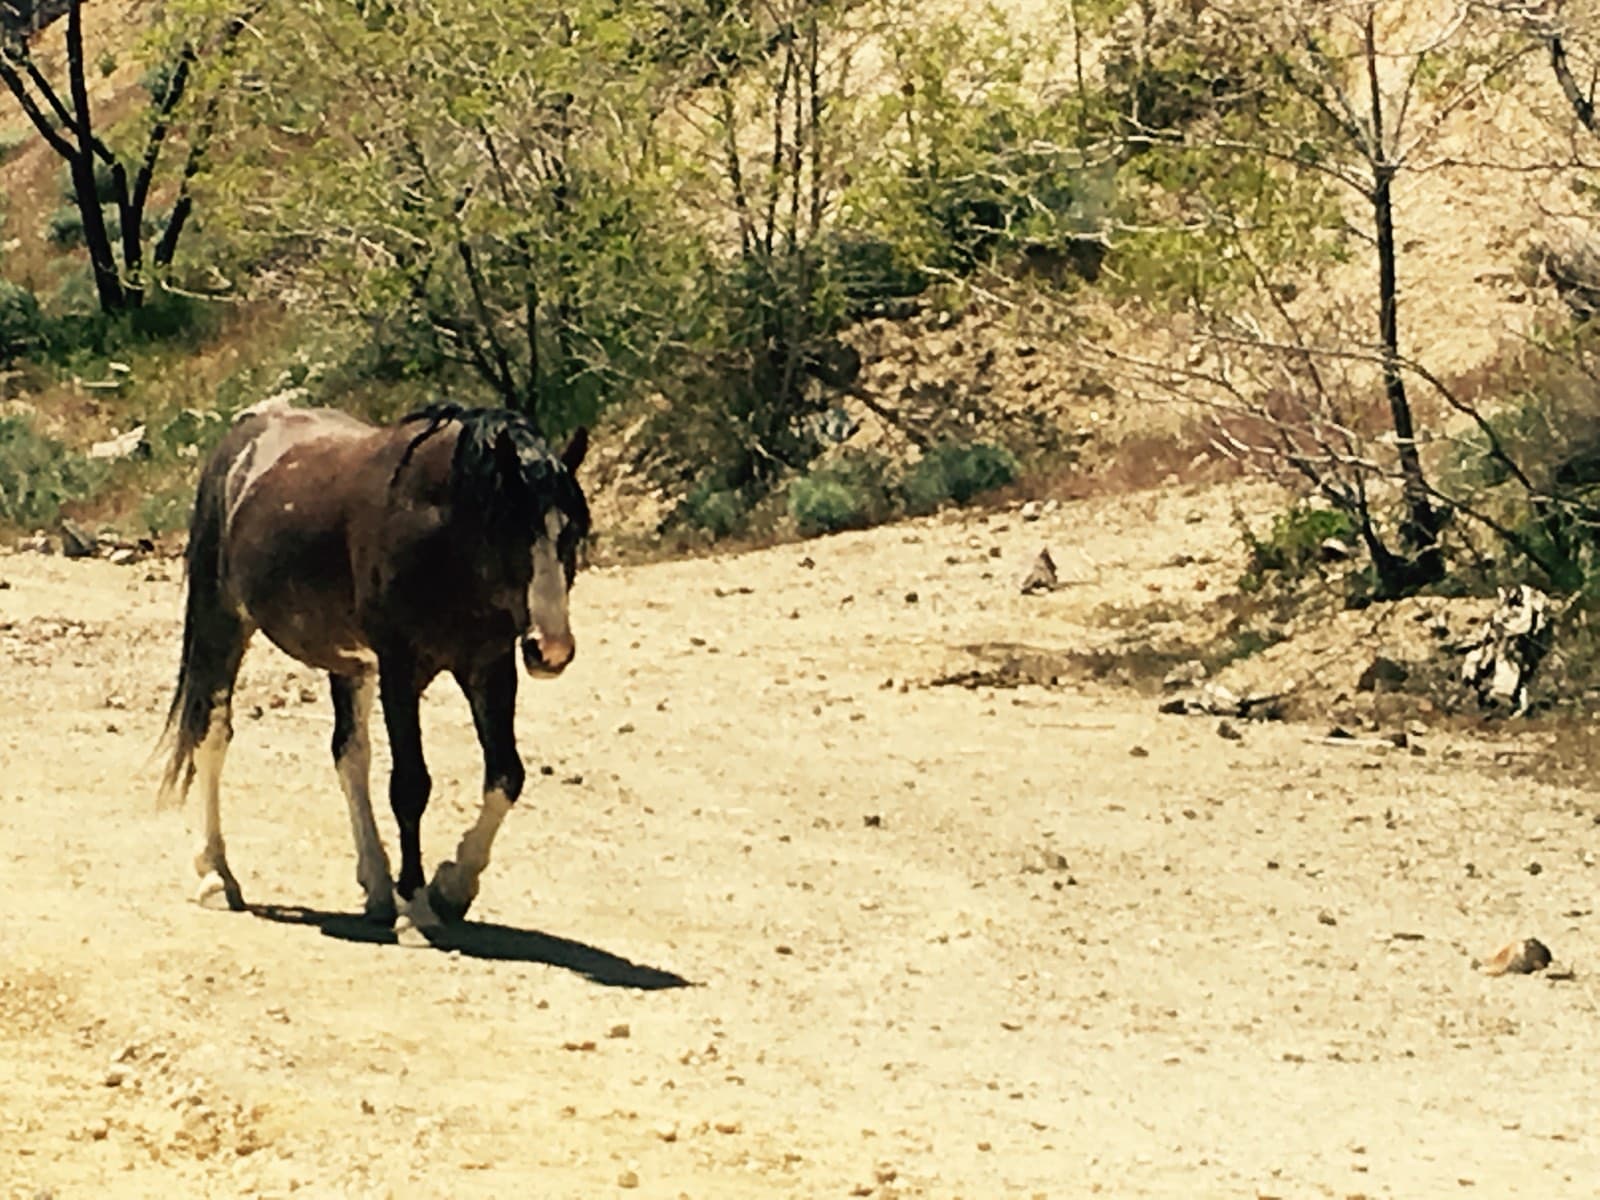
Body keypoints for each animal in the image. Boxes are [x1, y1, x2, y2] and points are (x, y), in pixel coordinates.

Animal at [157, 398, 590, 933]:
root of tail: (245, 437)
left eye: (573, 531)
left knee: (350, 754)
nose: (550, 649)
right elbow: (411, 785)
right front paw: (419, 905)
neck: (438, 529)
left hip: (350, 663)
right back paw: (217, 875)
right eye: (510, 530)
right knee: (212, 737)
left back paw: (379, 886)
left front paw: (452, 887)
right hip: (225, 625)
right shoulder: (401, 667)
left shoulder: (488, 667)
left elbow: (506, 776)